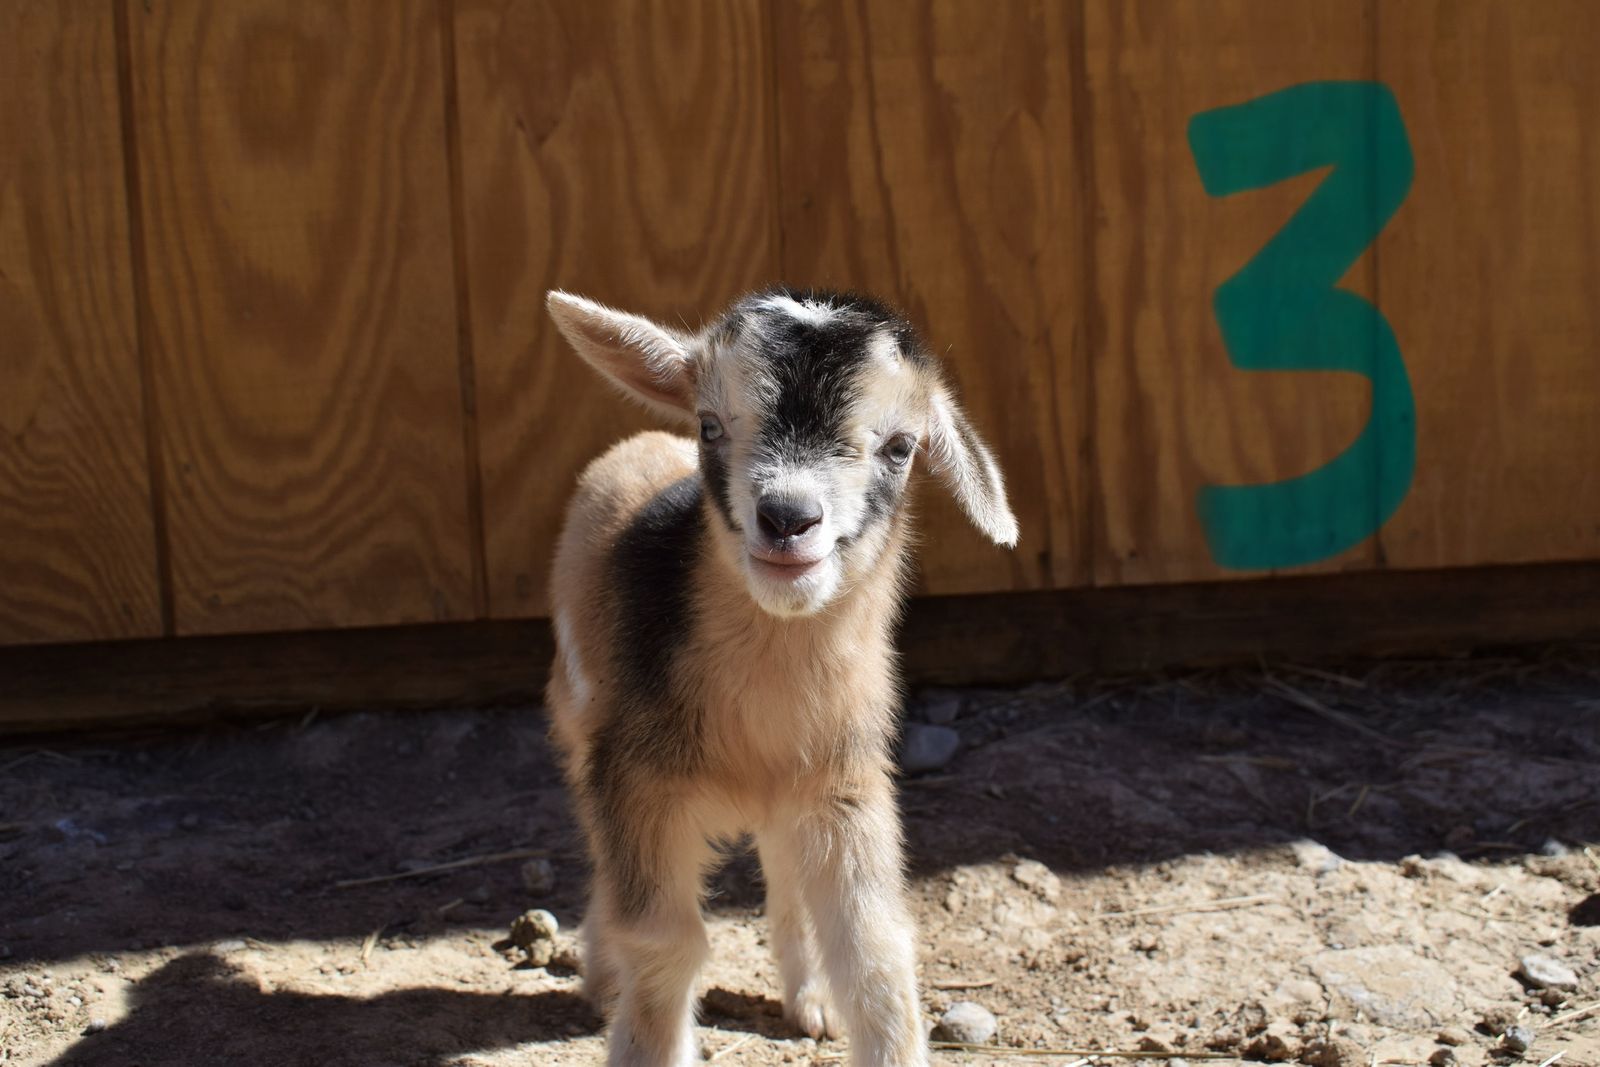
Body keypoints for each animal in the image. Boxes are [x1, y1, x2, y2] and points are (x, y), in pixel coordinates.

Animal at [544, 287, 1018, 1067]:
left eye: (901, 445)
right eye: (710, 423)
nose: (789, 519)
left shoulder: (843, 782)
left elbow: (874, 950)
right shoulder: (637, 781)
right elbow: (664, 943)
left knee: (786, 873)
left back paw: (811, 1000)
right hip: (581, 730)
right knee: (604, 859)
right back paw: (603, 975)